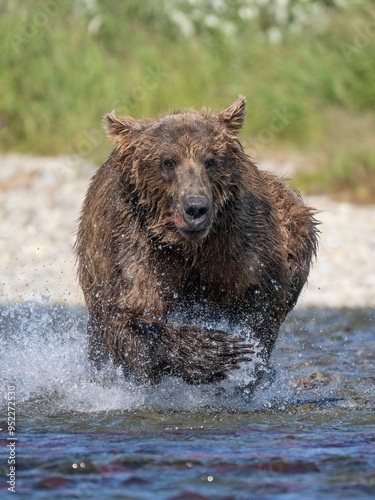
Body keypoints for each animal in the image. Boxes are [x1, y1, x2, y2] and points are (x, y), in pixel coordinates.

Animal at [75, 95, 318, 388]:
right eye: (168, 162)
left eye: (210, 161)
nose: (195, 208)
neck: (185, 244)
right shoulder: (132, 240)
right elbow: (129, 313)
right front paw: (214, 351)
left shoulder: (238, 240)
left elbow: (262, 301)